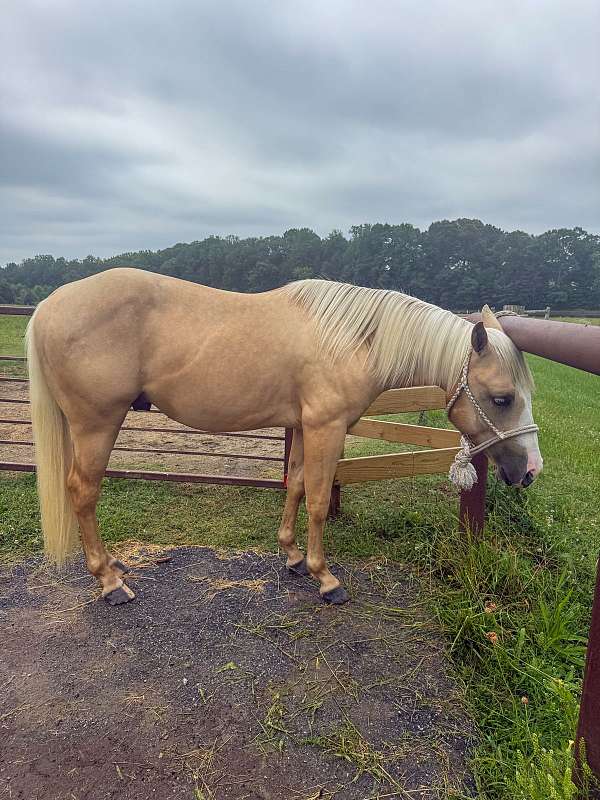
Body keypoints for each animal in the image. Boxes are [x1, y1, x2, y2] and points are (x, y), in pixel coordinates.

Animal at [25, 269, 543, 606]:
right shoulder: (326, 427)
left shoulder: (301, 426)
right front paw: (325, 578)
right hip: (96, 424)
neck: (354, 340)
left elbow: (294, 486)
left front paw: (292, 556)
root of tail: (49, 304)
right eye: (501, 398)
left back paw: (115, 567)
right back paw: (109, 583)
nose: (530, 471)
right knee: (83, 492)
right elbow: (318, 499)